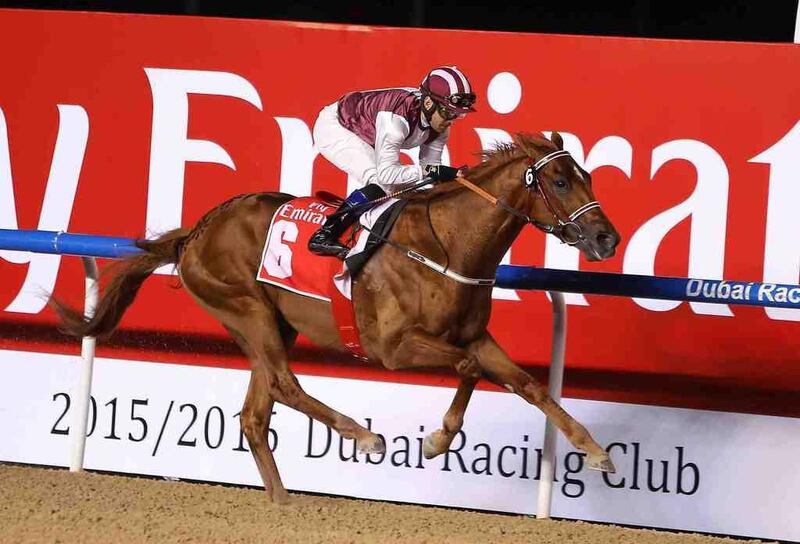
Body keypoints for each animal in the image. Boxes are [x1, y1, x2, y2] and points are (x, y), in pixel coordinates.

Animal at [53, 131, 620, 502]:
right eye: (560, 181)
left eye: (588, 176)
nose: (606, 238)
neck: (447, 244)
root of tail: (196, 230)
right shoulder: (394, 347)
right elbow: (467, 369)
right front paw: (436, 441)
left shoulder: (475, 336)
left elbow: (528, 384)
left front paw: (595, 452)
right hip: (247, 309)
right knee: (283, 385)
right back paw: (361, 436)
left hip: (270, 324)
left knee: (256, 413)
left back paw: (283, 504)